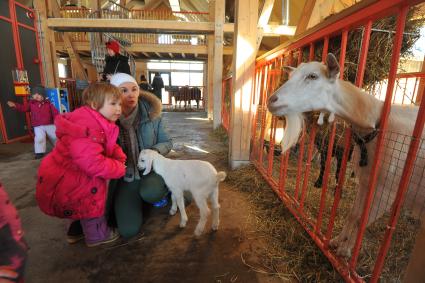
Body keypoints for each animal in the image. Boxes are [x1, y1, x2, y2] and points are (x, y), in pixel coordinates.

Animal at [266, 53, 422, 260]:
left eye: (313, 76)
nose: (271, 100)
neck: (376, 122)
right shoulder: (366, 181)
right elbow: (354, 215)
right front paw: (336, 241)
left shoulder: (387, 189)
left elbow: (363, 220)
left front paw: (345, 251)